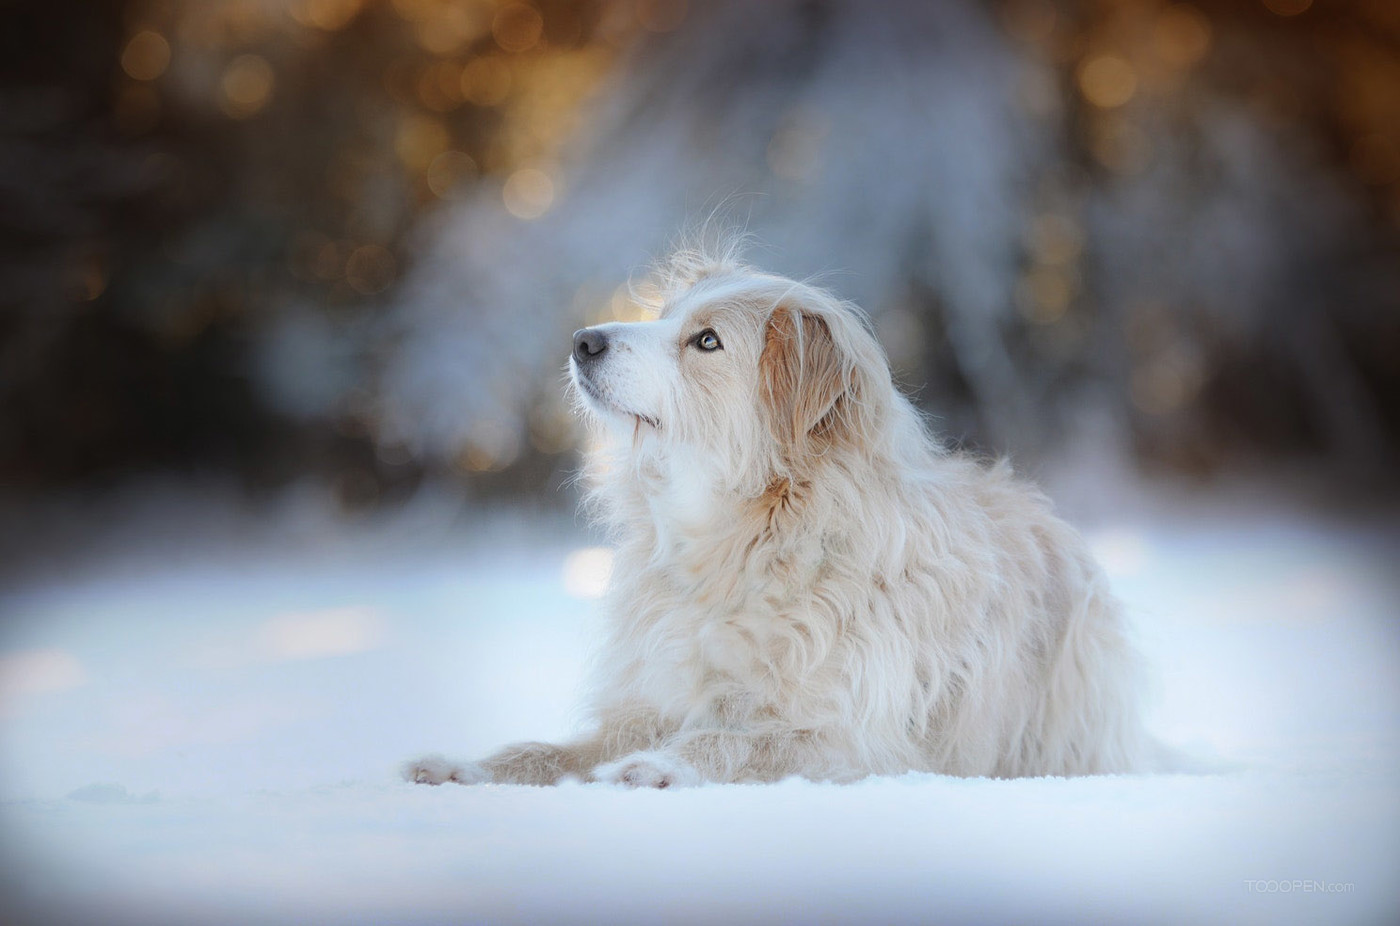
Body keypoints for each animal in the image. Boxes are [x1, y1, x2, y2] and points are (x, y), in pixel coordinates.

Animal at [406, 245, 1148, 790]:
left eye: (706, 341)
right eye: (664, 316)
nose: (584, 339)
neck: (738, 546)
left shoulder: (853, 740)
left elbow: (728, 742)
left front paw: (660, 766)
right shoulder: (653, 700)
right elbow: (554, 749)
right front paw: (468, 766)